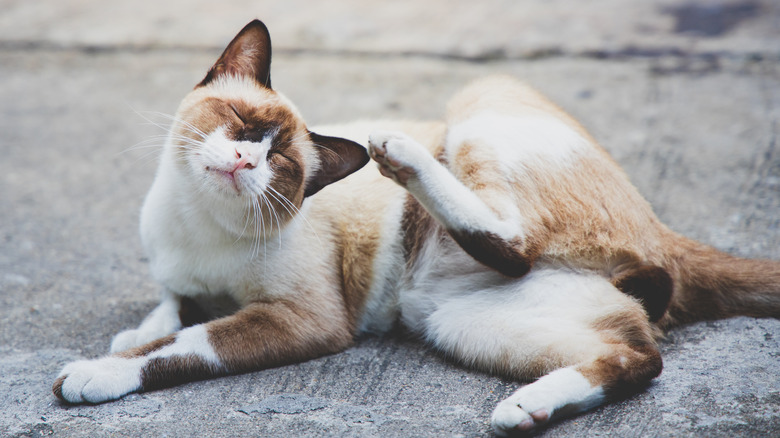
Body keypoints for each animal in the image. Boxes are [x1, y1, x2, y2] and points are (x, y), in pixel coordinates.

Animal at [53, 19, 780, 434]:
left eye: (281, 161)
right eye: (239, 122)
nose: (242, 161)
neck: (198, 224)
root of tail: (666, 233)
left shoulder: (302, 320)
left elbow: (182, 344)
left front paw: (94, 375)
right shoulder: (180, 279)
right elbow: (166, 311)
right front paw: (129, 335)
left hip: (477, 105)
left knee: (518, 246)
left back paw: (398, 153)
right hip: (461, 322)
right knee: (636, 356)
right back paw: (526, 411)